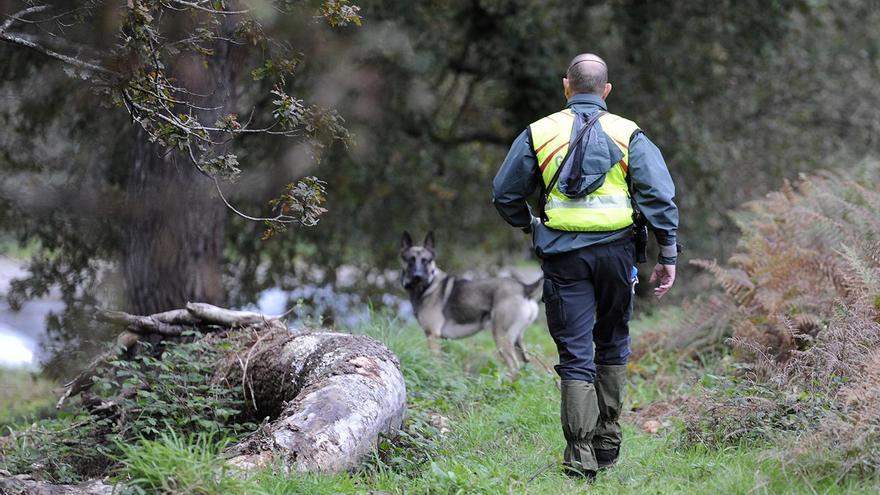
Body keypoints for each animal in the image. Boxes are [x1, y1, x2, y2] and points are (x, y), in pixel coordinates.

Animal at [400, 233, 544, 372]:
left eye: (426, 261)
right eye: (410, 260)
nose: (418, 276)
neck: (428, 285)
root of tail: (525, 288)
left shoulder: (432, 335)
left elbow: (435, 363)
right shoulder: (443, 340)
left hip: (501, 337)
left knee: (515, 368)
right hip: (518, 341)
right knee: (526, 366)